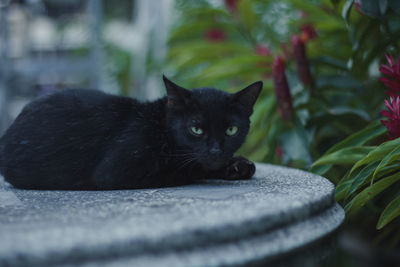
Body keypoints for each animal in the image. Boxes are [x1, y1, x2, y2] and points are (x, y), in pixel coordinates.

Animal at [0, 76, 262, 191]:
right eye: (196, 129)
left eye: (231, 130)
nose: (217, 150)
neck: (160, 128)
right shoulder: (115, 172)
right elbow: (192, 168)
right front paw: (234, 165)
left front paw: (238, 164)